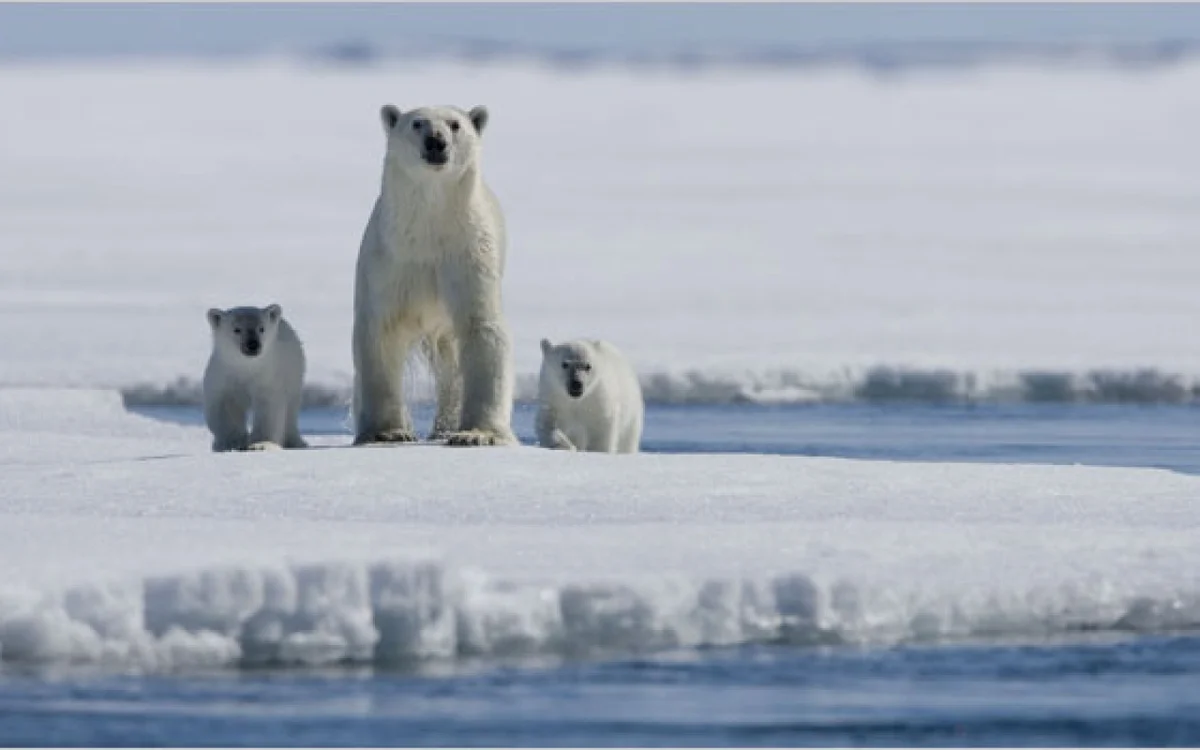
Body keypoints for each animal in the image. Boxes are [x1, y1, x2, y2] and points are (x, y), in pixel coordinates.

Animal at [202, 302, 307, 451]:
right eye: (237, 329)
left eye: (261, 328)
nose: (253, 344)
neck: (246, 367)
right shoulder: (223, 378)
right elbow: (227, 408)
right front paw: (233, 443)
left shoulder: (267, 377)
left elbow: (268, 408)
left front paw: (260, 444)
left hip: (294, 372)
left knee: (291, 409)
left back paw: (295, 442)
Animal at [350, 103, 513, 446]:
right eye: (417, 123)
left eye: (455, 124)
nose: (436, 141)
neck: (429, 226)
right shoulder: (390, 260)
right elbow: (380, 333)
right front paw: (388, 432)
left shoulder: (468, 255)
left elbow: (482, 329)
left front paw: (476, 434)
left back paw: (446, 426)